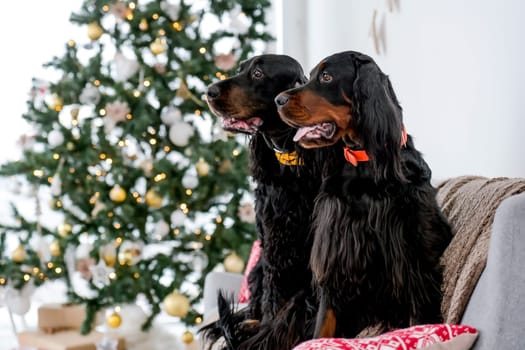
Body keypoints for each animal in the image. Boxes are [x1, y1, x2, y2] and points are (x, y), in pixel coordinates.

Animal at [200, 53, 340, 348]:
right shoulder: (275, 242)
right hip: (257, 269)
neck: (293, 162)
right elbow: (273, 298)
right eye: (241, 68)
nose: (209, 91)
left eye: (258, 74)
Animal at [276, 51, 452, 340]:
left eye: (327, 77)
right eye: (311, 75)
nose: (278, 100)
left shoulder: (414, 268)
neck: (365, 163)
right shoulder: (335, 264)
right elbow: (322, 330)